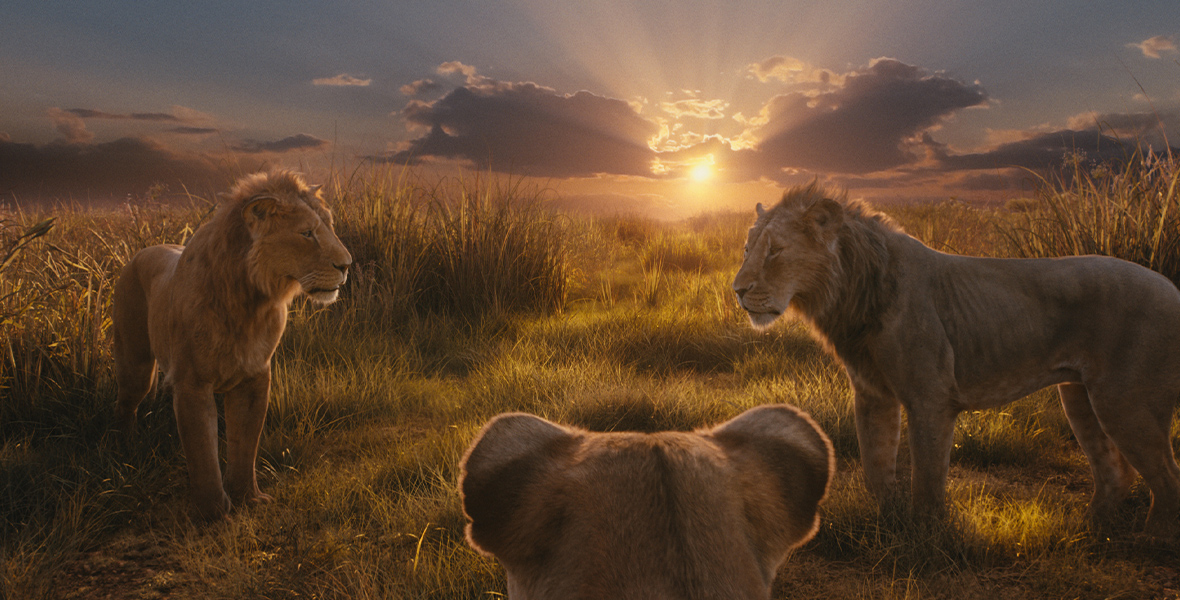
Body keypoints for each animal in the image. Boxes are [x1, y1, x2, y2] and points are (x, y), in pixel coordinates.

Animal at [112, 170, 351, 519]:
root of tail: (141, 252)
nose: (347, 265)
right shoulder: (192, 383)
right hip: (135, 364)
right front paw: (213, 512)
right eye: (307, 233)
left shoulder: (255, 377)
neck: (250, 301)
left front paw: (247, 498)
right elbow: (202, 452)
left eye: (330, 226)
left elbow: (244, 444)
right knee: (126, 404)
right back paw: (125, 452)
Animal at [726, 181, 1180, 533]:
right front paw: (890, 524)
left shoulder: (930, 398)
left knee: (1167, 479)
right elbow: (876, 466)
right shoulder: (873, 394)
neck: (851, 293)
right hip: (1079, 396)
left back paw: (1150, 542)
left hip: (1125, 402)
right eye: (746, 248)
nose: (738, 290)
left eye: (775, 251)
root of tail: (1171, 287)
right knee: (1117, 473)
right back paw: (1087, 532)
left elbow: (926, 479)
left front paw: (925, 537)